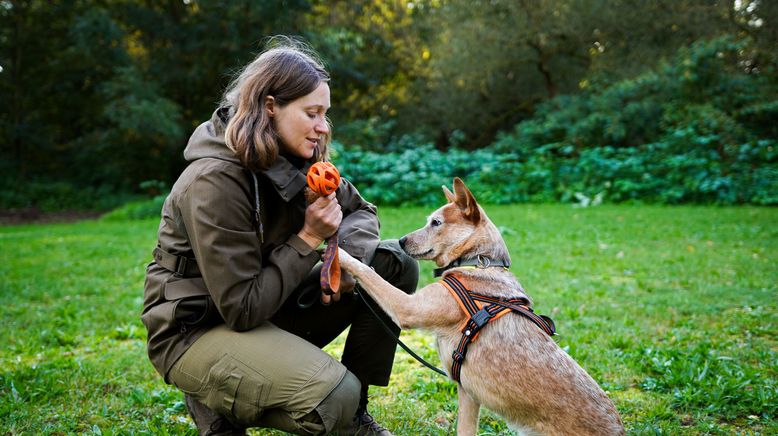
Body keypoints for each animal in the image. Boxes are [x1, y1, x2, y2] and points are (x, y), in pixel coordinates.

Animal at [336, 178, 620, 436]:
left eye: (436, 223)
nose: (402, 241)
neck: (479, 261)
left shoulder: (408, 307)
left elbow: (366, 271)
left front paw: (336, 250)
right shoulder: (468, 393)